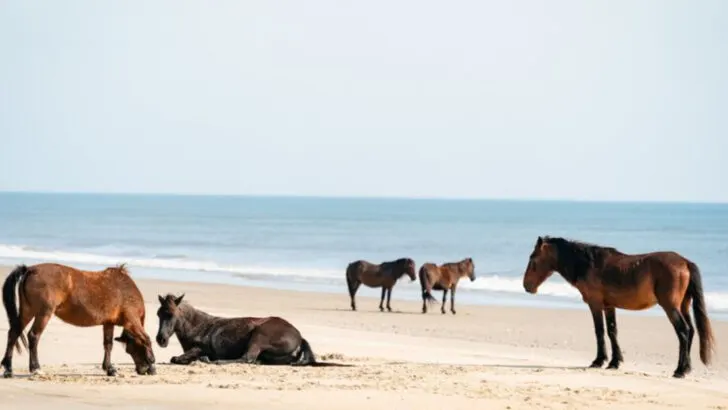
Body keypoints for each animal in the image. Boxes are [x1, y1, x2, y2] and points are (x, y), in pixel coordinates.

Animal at [1, 263, 157, 378]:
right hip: (43, 313)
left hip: (28, 311)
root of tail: (30, 269)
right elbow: (146, 339)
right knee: (33, 336)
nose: (142, 370)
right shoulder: (132, 320)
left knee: (13, 333)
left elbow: (108, 345)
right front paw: (152, 365)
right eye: (130, 350)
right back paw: (36, 368)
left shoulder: (108, 323)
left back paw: (8, 369)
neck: (126, 290)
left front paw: (109, 369)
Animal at [155, 293, 351, 367]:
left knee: (246, 358)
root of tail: (299, 336)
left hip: (258, 337)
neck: (199, 327)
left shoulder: (201, 347)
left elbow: (178, 358)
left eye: (171, 314)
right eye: (159, 314)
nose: (161, 339)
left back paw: (212, 360)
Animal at [522, 236, 715, 378]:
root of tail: (685, 262)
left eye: (533, 259)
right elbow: (612, 331)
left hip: (671, 307)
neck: (589, 264)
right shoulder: (609, 307)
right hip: (683, 306)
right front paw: (614, 362)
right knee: (691, 331)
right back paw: (686, 368)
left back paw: (680, 370)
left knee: (683, 331)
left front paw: (599, 360)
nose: (526, 286)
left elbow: (600, 331)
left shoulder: (595, 305)